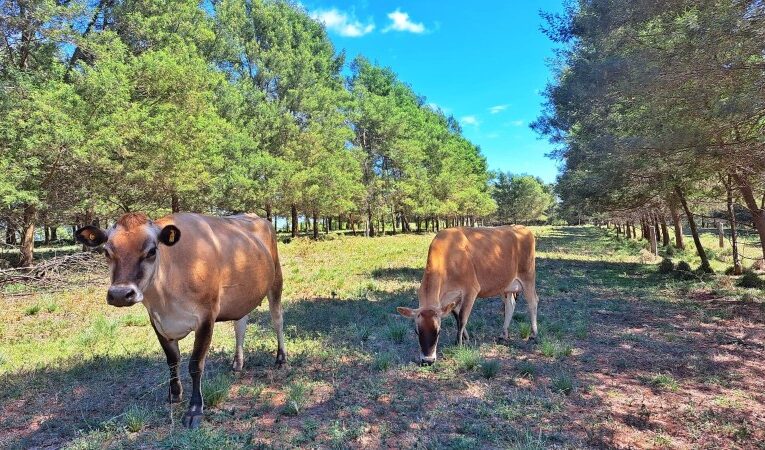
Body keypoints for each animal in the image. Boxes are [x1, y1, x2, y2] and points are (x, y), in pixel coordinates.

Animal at [76, 213, 286, 428]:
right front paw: (175, 394)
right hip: (242, 296)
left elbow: (195, 365)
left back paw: (281, 359)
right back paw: (237, 364)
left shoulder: (206, 317)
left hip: (276, 279)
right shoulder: (157, 321)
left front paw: (194, 409)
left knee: (277, 319)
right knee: (240, 325)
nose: (120, 294)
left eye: (152, 251)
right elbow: (172, 360)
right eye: (106, 251)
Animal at [396, 225, 536, 366]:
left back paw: (533, 334)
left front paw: (458, 344)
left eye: (439, 331)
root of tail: (522, 228)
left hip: (528, 276)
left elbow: (462, 318)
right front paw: (465, 338)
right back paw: (503, 334)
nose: (427, 360)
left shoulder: (471, 290)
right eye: (417, 331)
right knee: (510, 305)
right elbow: (457, 317)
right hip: (505, 285)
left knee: (533, 302)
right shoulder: (450, 300)